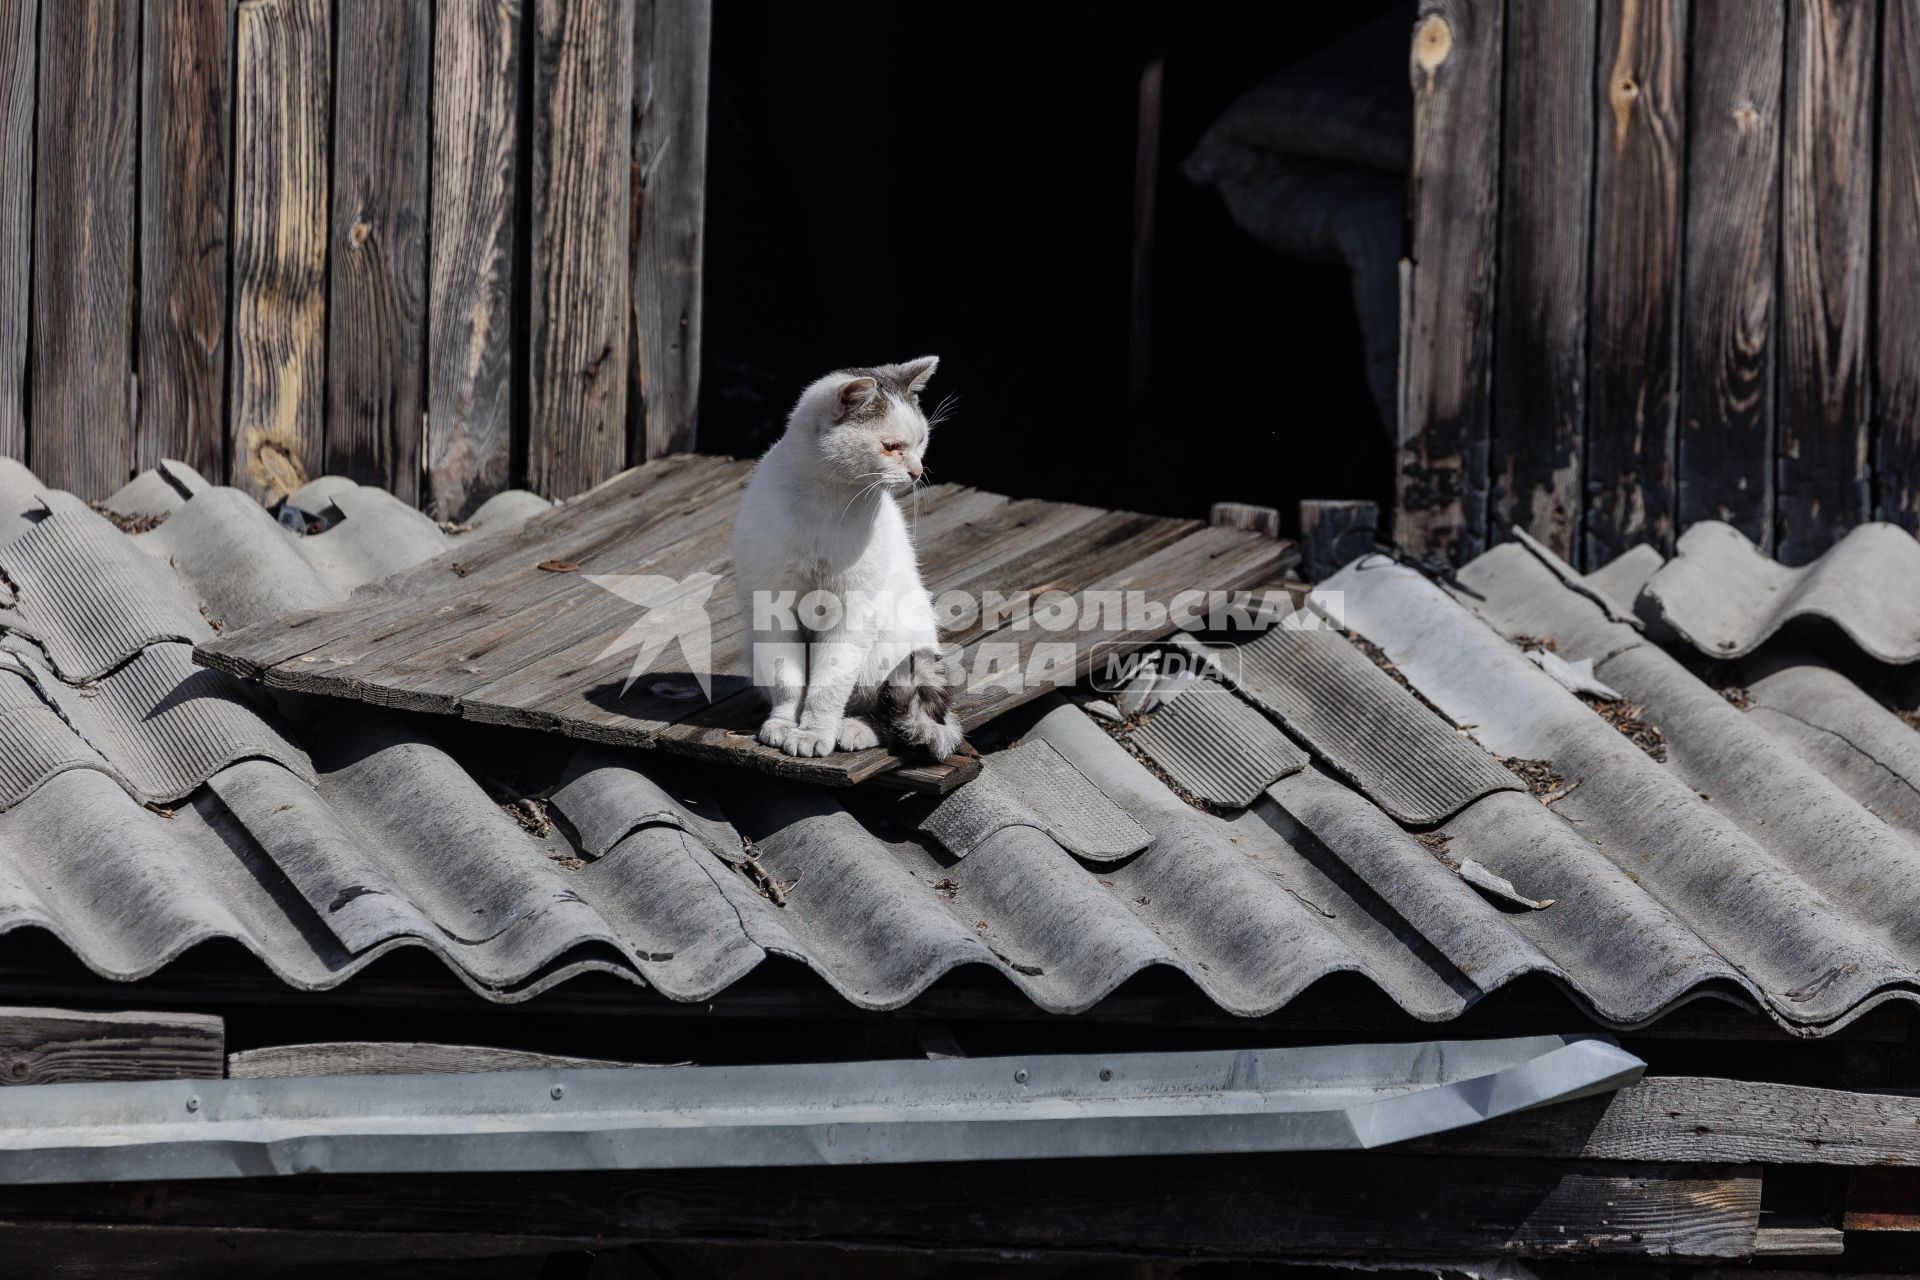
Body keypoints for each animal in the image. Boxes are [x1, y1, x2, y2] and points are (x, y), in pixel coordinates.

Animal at [721, 358, 960, 759]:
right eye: (892, 447)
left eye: (921, 441)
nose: (917, 471)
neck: (827, 502)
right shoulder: (772, 605)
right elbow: (787, 679)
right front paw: (784, 723)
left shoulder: (853, 611)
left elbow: (829, 684)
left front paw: (814, 732)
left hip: (893, 648)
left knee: (884, 710)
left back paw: (852, 729)